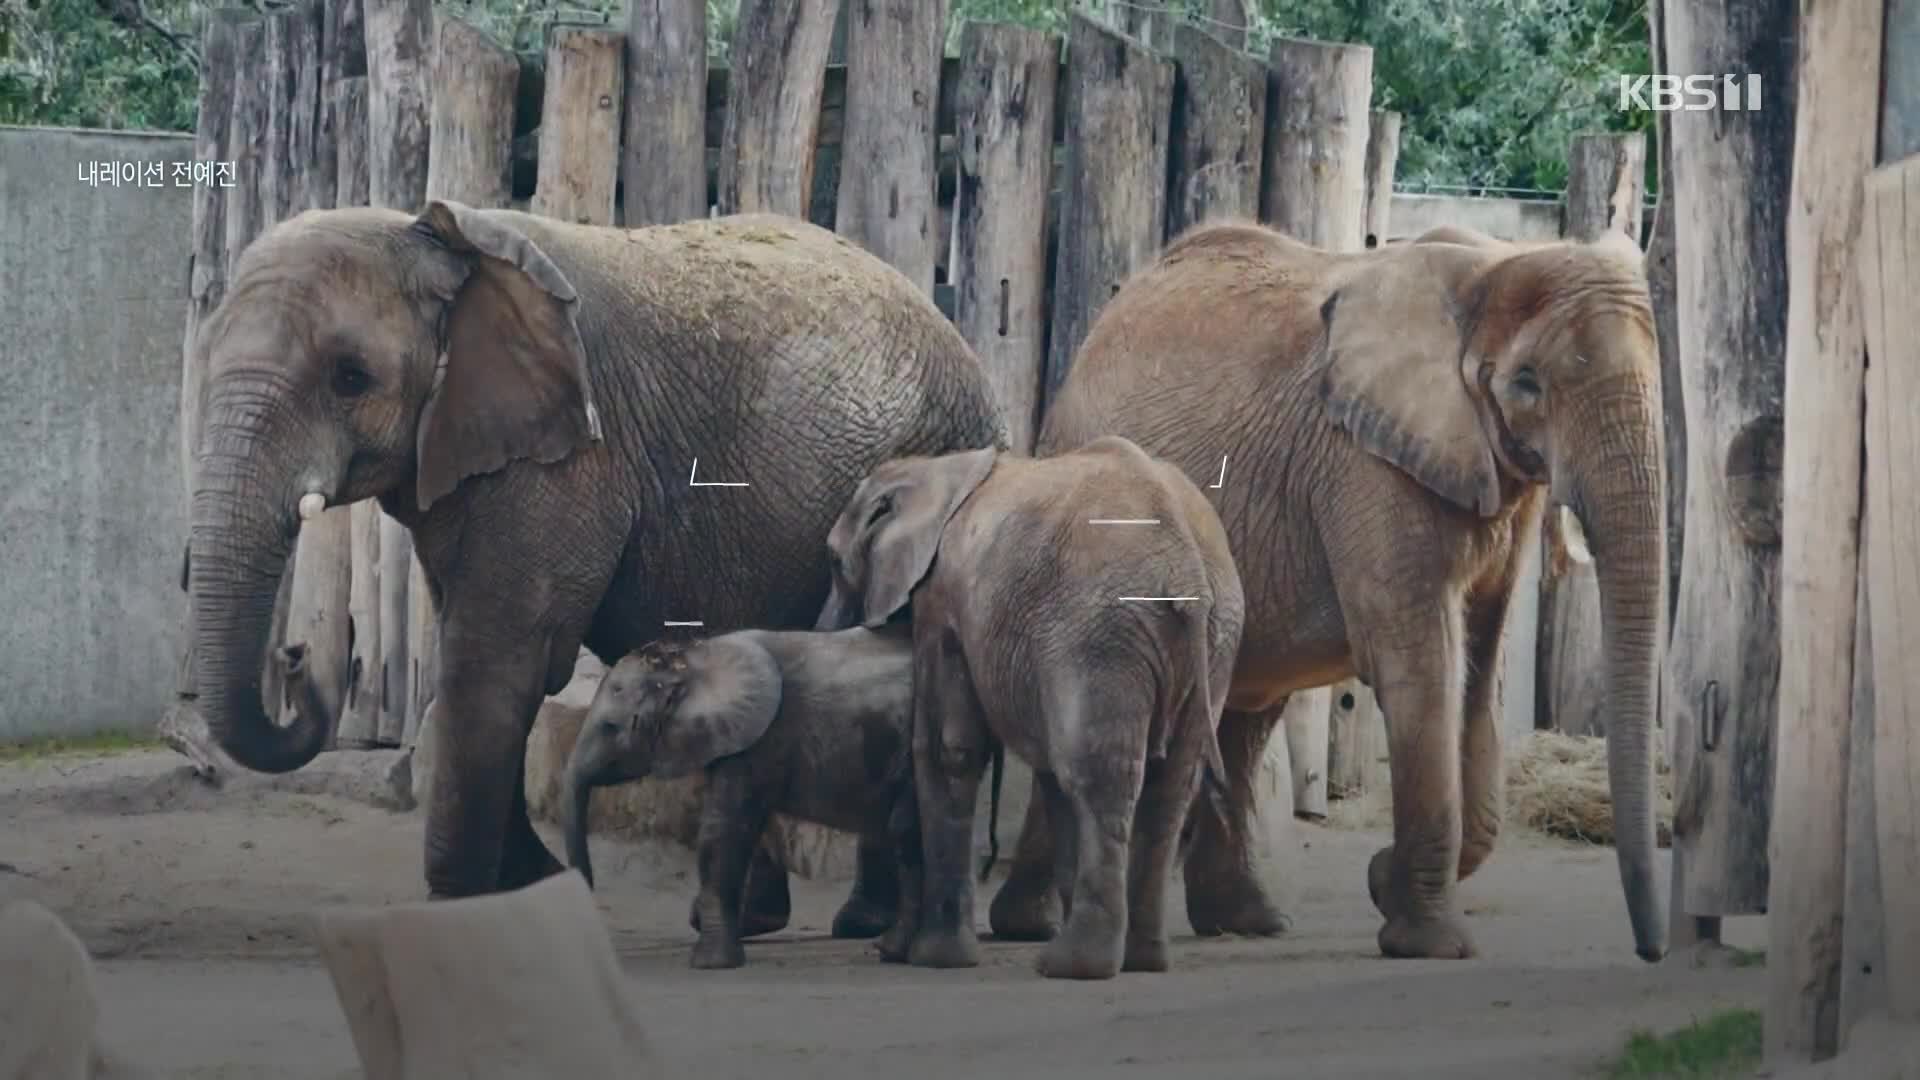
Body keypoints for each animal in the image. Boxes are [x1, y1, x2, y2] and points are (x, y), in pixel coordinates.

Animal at [814, 434, 1244, 976]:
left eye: (833, 561)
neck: (942, 469)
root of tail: (1186, 563)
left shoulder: (943, 600)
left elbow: (947, 749)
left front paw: (935, 960)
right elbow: (1047, 776)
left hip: (1101, 636)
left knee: (1099, 777)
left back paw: (1072, 965)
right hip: (1213, 642)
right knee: (1167, 787)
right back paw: (1141, 960)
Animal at [998, 219, 1674, 957]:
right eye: (1527, 384)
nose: (1651, 951)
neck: (1491, 265)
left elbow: (1478, 666)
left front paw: (1387, 885)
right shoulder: (1364, 462)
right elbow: (1419, 666)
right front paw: (1427, 939)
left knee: (1244, 706)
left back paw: (1246, 922)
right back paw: (1030, 927)